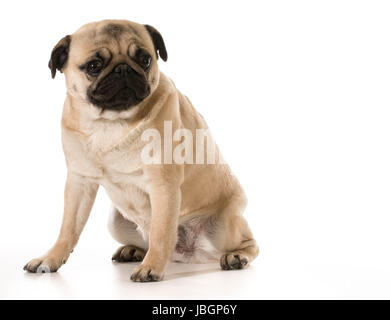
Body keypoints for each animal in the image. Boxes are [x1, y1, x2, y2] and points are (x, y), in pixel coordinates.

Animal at [22, 18, 258, 282]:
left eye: (145, 59)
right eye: (94, 66)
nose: (123, 69)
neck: (110, 123)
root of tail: (188, 254)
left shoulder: (163, 185)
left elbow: (161, 233)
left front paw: (152, 267)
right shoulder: (79, 182)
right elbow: (68, 229)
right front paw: (50, 258)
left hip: (223, 226)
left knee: (249, 244)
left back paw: (237, 257)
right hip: (116, 222)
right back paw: (133, 250)